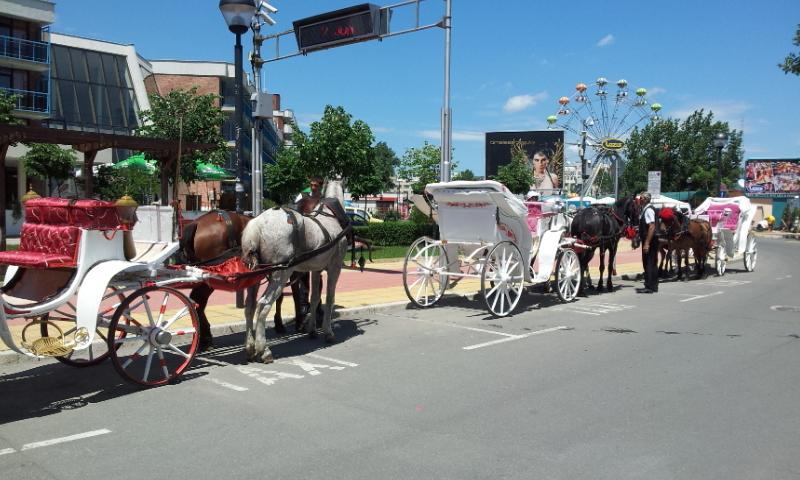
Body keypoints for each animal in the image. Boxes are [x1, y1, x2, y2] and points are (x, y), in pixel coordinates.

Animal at [239, 180, 348, 364]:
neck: (329, 217)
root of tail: (257, 224)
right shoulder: (335, 267)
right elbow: (329, 298)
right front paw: (328, 332)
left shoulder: (316, 270)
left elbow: (314, 298)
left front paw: (312, 330)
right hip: (281, 274)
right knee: (263, 304)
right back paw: (264, 349)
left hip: (255, 274)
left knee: (250, 307)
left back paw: (250, 348)